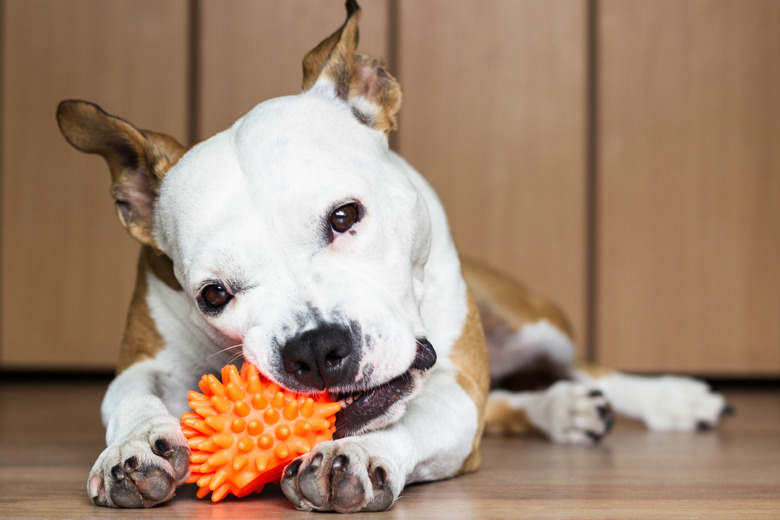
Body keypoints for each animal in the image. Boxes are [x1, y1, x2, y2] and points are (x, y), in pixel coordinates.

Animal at [56, 1, 732, 512]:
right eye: (213, 294)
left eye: (344, 216)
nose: (316, 349)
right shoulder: (145, 357)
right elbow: (128, 395)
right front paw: (132, 449)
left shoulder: (456, 389)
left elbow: (415, 419)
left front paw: (359, 453)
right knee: (513, 402)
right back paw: (561, 410)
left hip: (536, 323)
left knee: (586, 367)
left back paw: (672, 399)